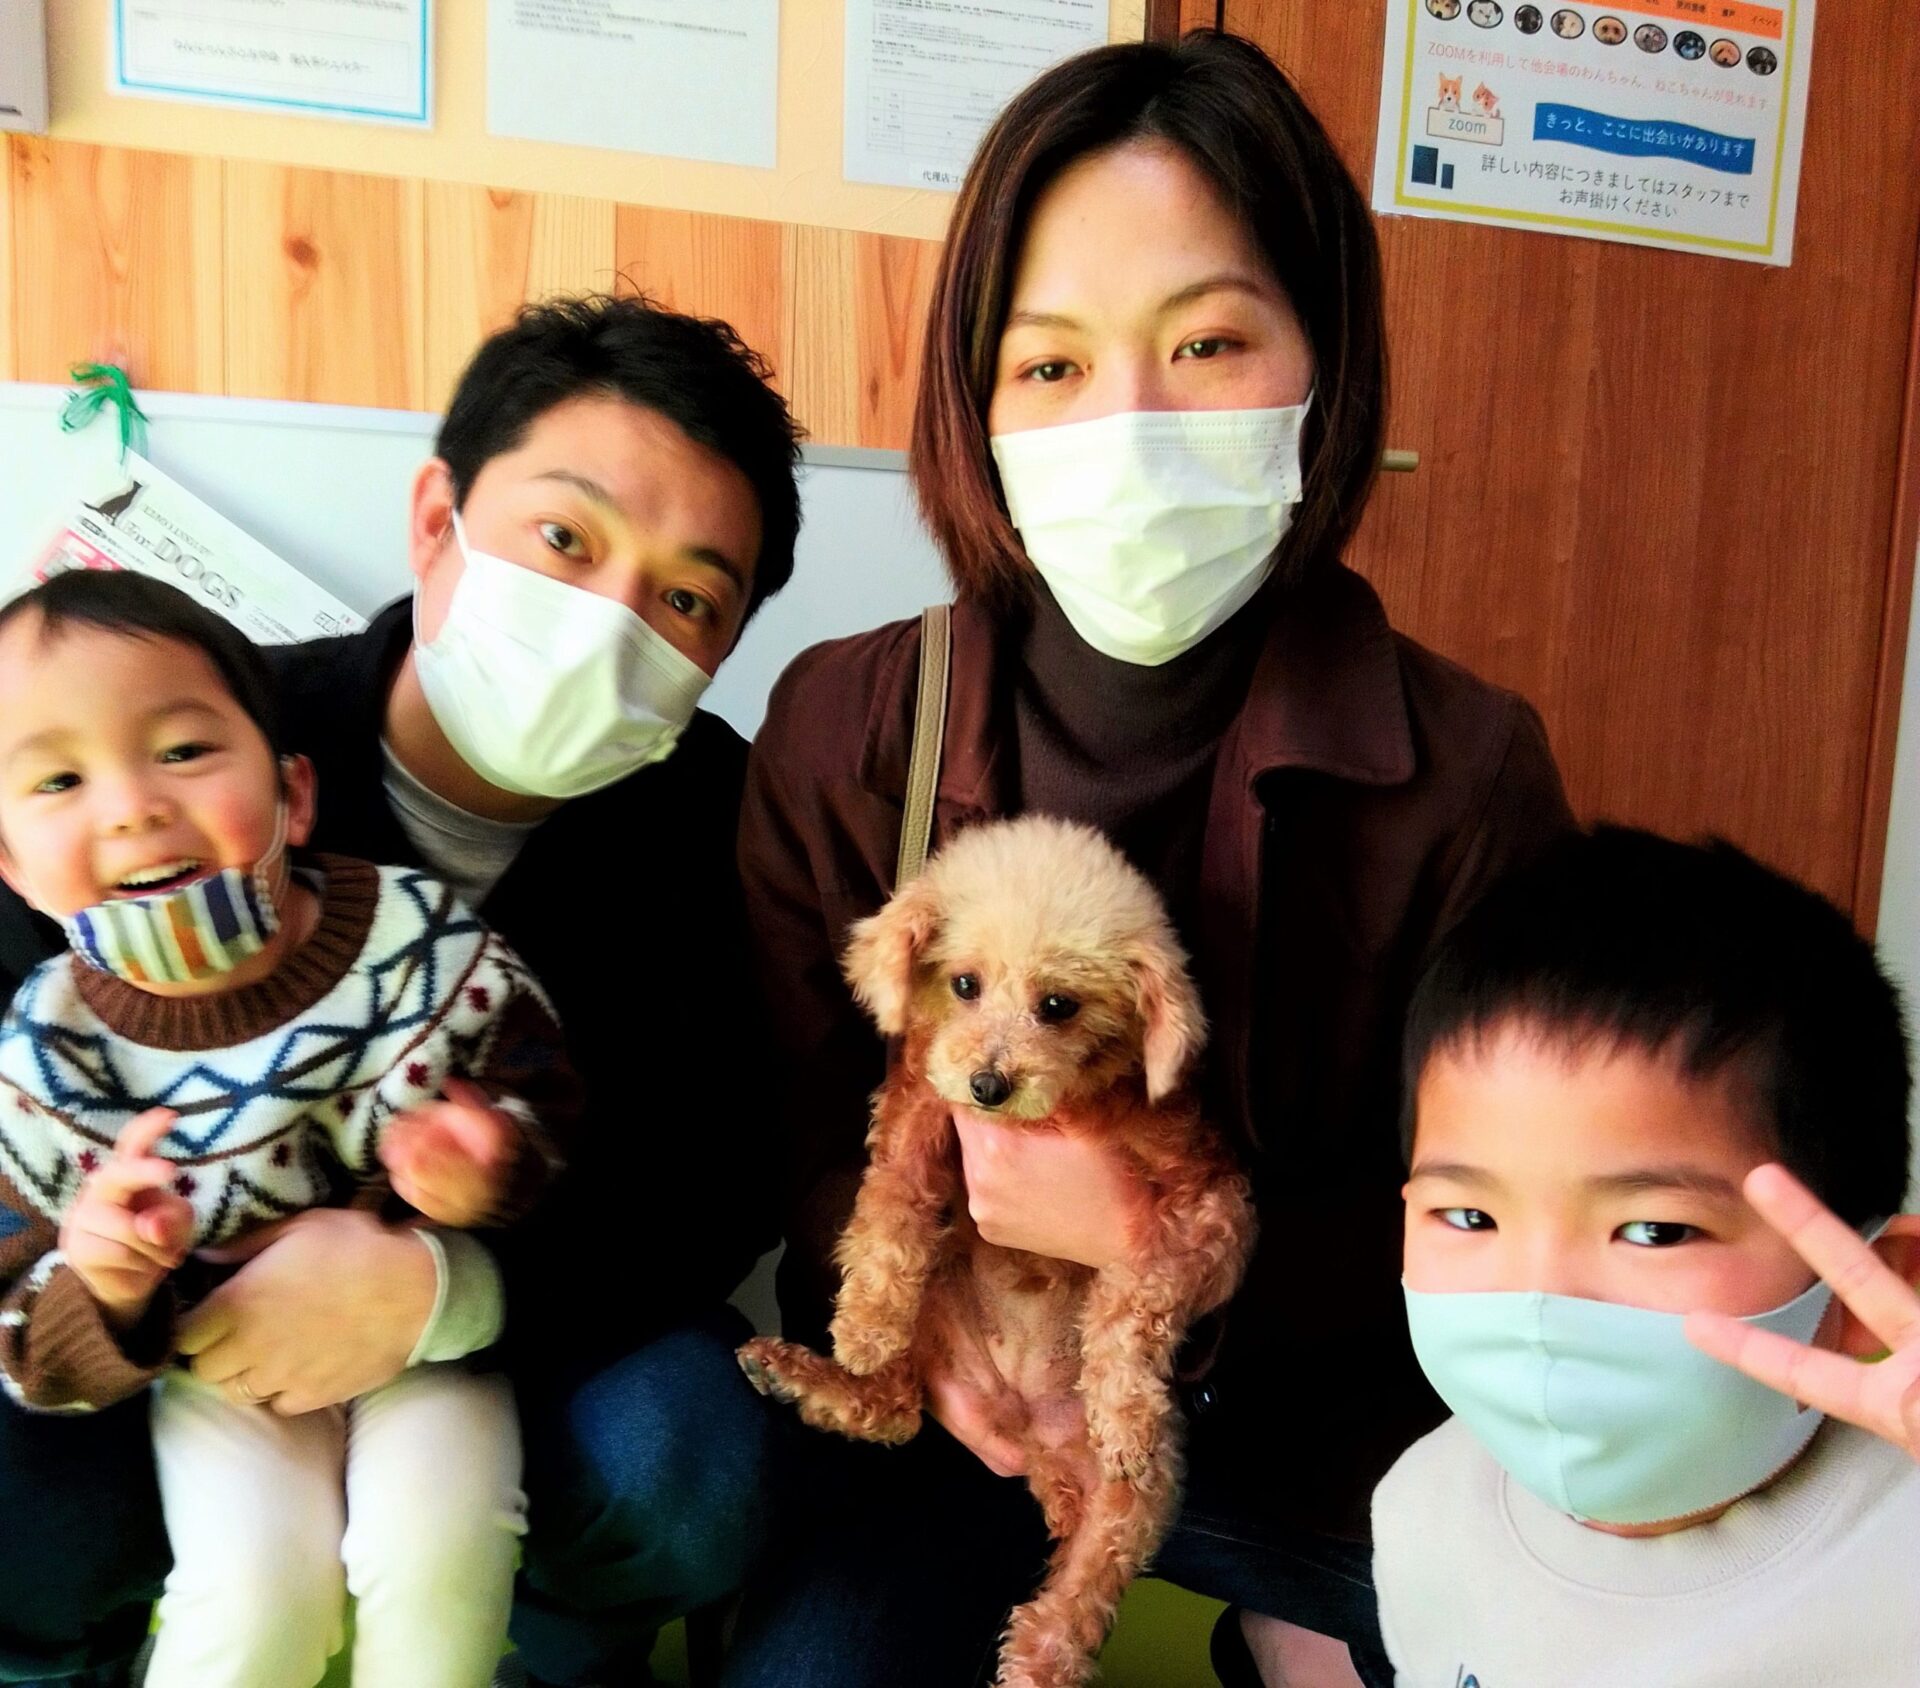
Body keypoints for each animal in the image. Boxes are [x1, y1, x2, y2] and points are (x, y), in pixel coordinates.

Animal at [740, 817, 1255, 1688]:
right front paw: (865, 1321)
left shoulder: (1211, 1214)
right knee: (897, 1407)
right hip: (938, 1315)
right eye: (964, 984)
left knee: (1073, 1599)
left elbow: (1134, 1298)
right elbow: (894, 1199)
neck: (1051, 1115)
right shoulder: (920, 1098)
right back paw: (807, 1375)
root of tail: (1031, 1441)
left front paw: (1123, 1406)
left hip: (1129, 1510)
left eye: (1058, 1005)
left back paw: (1037, 1664)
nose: (988, 1084)